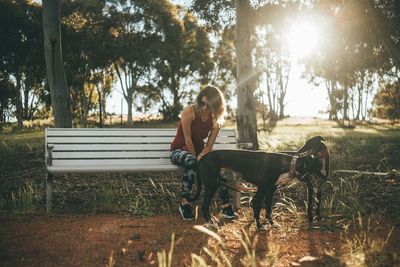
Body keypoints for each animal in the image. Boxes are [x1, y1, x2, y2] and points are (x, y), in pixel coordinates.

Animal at [188, 150, 324, 229]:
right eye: (318, 166)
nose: (324, 177)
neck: (286, 164)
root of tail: (200, 159)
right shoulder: (262, 189)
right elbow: (257, 206)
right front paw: (259, 226)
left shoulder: (270, 190)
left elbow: (268, 210)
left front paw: (272, 224)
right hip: (212, 185)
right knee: (204, 207)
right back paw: (211, 223)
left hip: (217, 183)